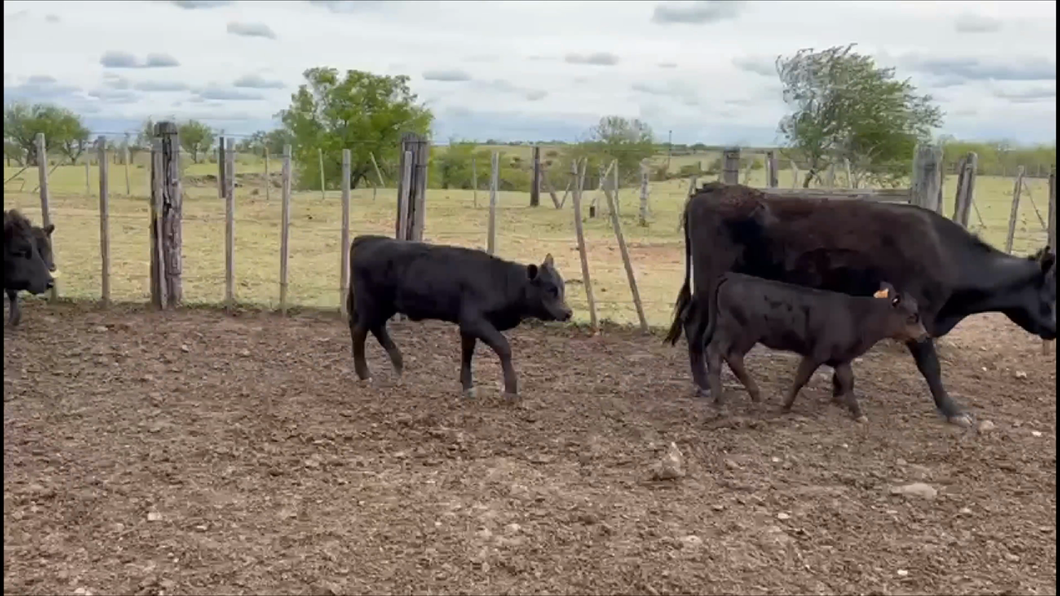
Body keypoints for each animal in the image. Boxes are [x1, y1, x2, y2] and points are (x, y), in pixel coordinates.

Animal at [703, 271, 928, 419]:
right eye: (912, 317)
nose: (925, 335)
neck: (858, 317)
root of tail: (734, 277)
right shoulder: (817, 352)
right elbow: (801, 378)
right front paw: (784, 406)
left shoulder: (841, 358)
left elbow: (848, 381)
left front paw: (858, 413)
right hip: (742, 331)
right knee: (726, 354)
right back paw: (728, 399)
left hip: (732, 330)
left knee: (721, 354)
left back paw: (736, 396)